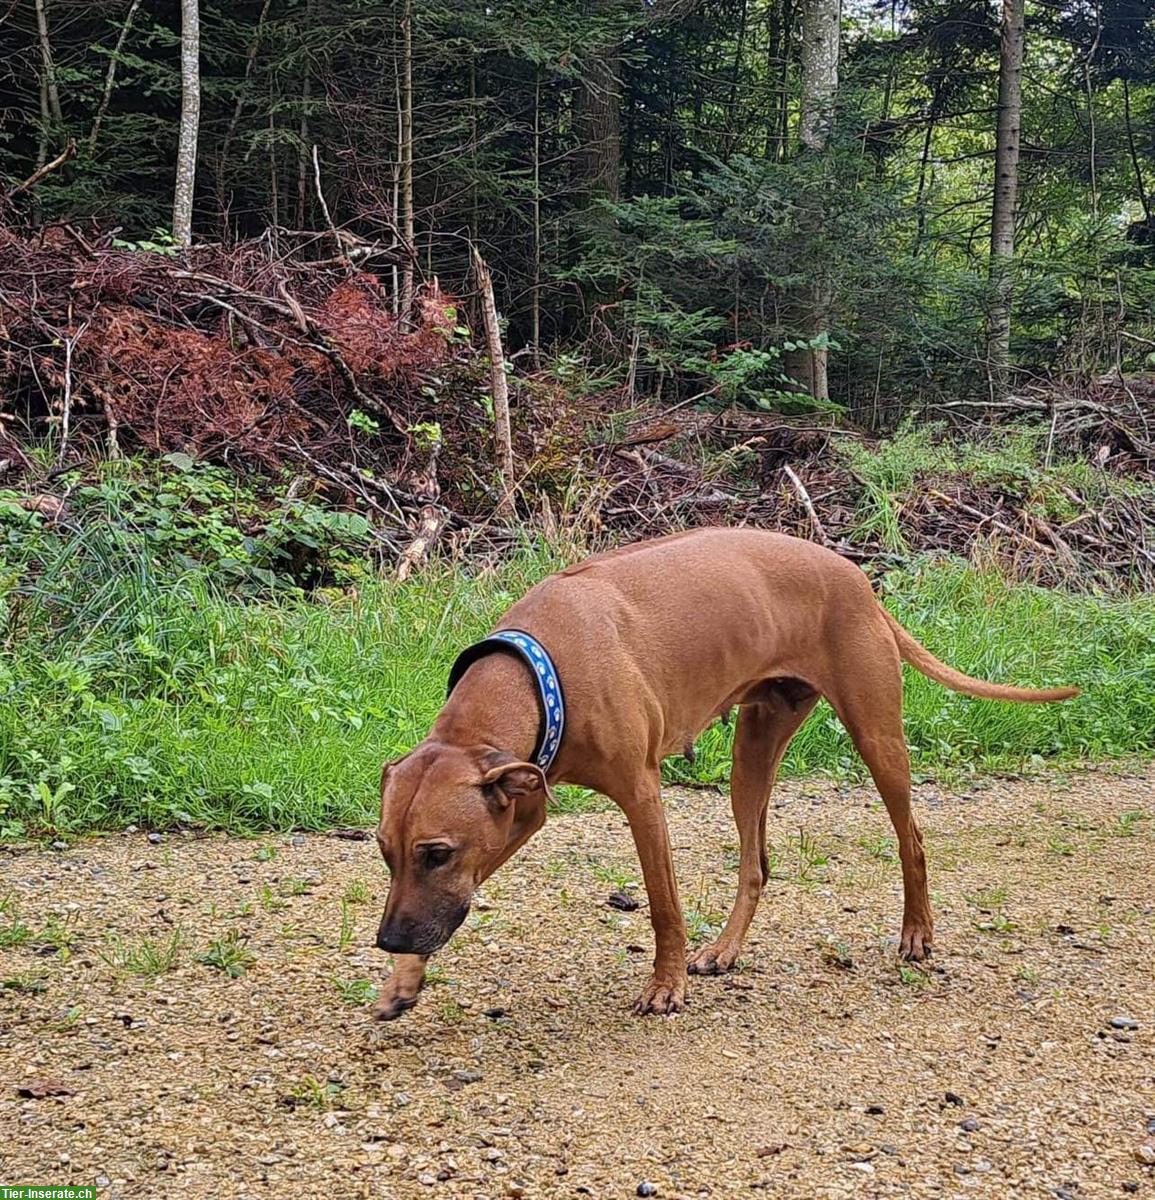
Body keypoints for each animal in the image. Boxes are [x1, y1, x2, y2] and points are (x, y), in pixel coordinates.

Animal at [369, 530, 1070, 1017]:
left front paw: (665, 985)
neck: (541, 670)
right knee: (757, 864)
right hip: (752, 753)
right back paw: (727, 949)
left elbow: (663, 906)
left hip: (877, 739)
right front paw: (404, 980)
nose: (388, 940)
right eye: (386, 853)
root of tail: (857, 577)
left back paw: (918, 933)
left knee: (912, 840)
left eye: (436, 852)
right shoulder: (523, 802)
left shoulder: (641, 796)